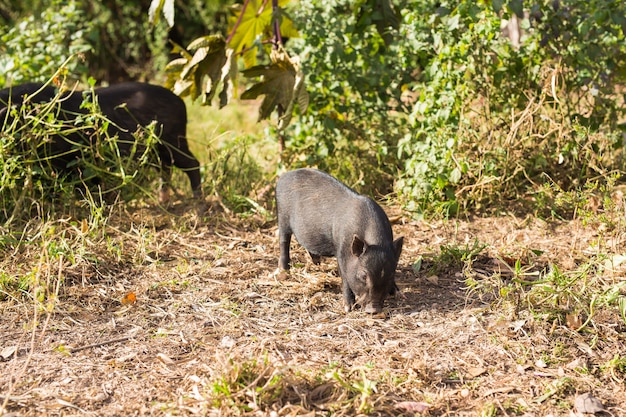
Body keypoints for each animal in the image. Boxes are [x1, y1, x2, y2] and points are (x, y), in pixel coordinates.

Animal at [0, 81, 200, 202]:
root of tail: (180, 102)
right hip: (156, 150)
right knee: (165, 170)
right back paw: (163, 200)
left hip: (174, 141)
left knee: (192, 164)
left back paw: (197, 201)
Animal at [276, 167, 402, 314]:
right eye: (363, 276)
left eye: (390, 274)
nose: (373, 310)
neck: (375, 242)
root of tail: (284, 177)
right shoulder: (341, 251)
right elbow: (345, 278)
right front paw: (348, 308)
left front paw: (399, 294)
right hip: (282, 217)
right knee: (283, 241)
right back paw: (283, 272)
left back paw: (317, 262)